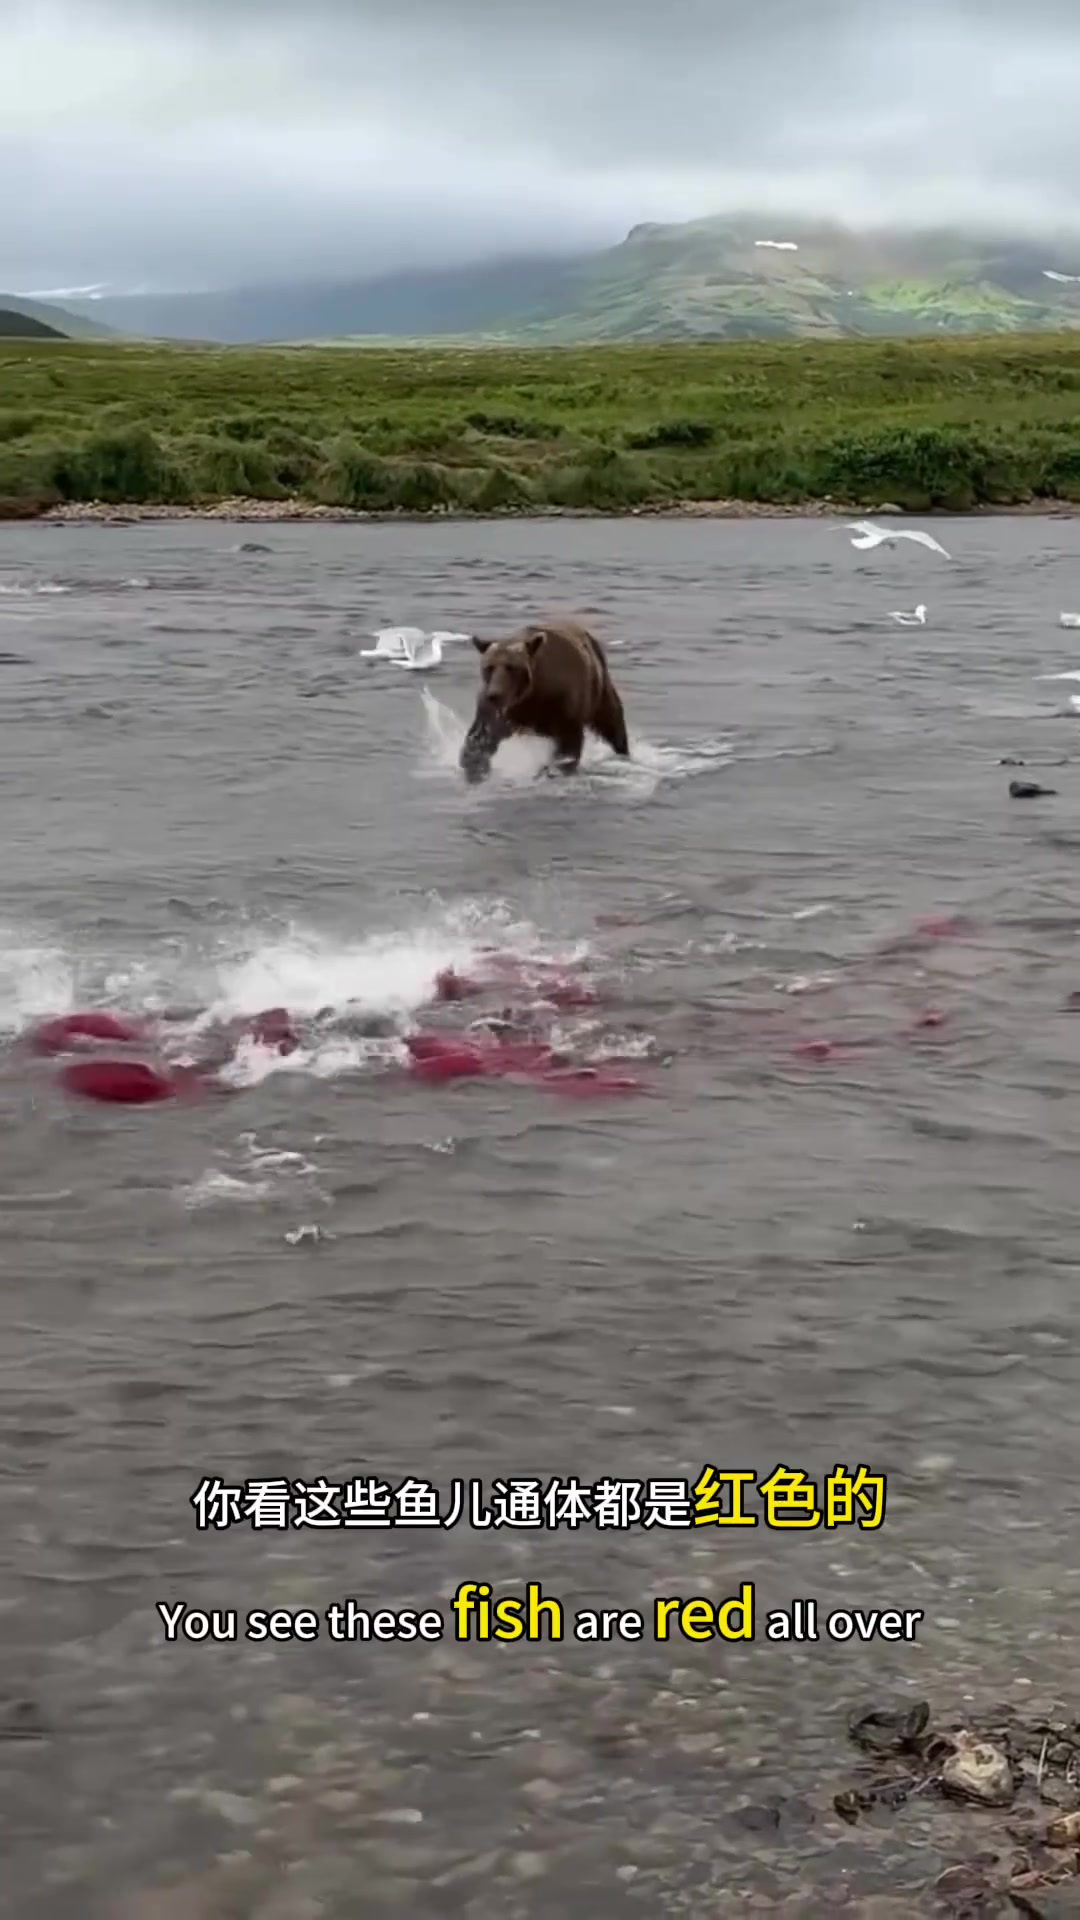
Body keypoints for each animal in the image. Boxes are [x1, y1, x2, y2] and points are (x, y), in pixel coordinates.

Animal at [459, 618, 630, 785]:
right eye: (489, 667)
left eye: (511, 667)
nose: (495, 694)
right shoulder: (499, 711)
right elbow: (480, 738)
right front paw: (474, 767)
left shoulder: (562, 705)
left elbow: (568, 744)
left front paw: (553, 770)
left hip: (599, 691)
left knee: (611, 722)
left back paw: (622, 751)